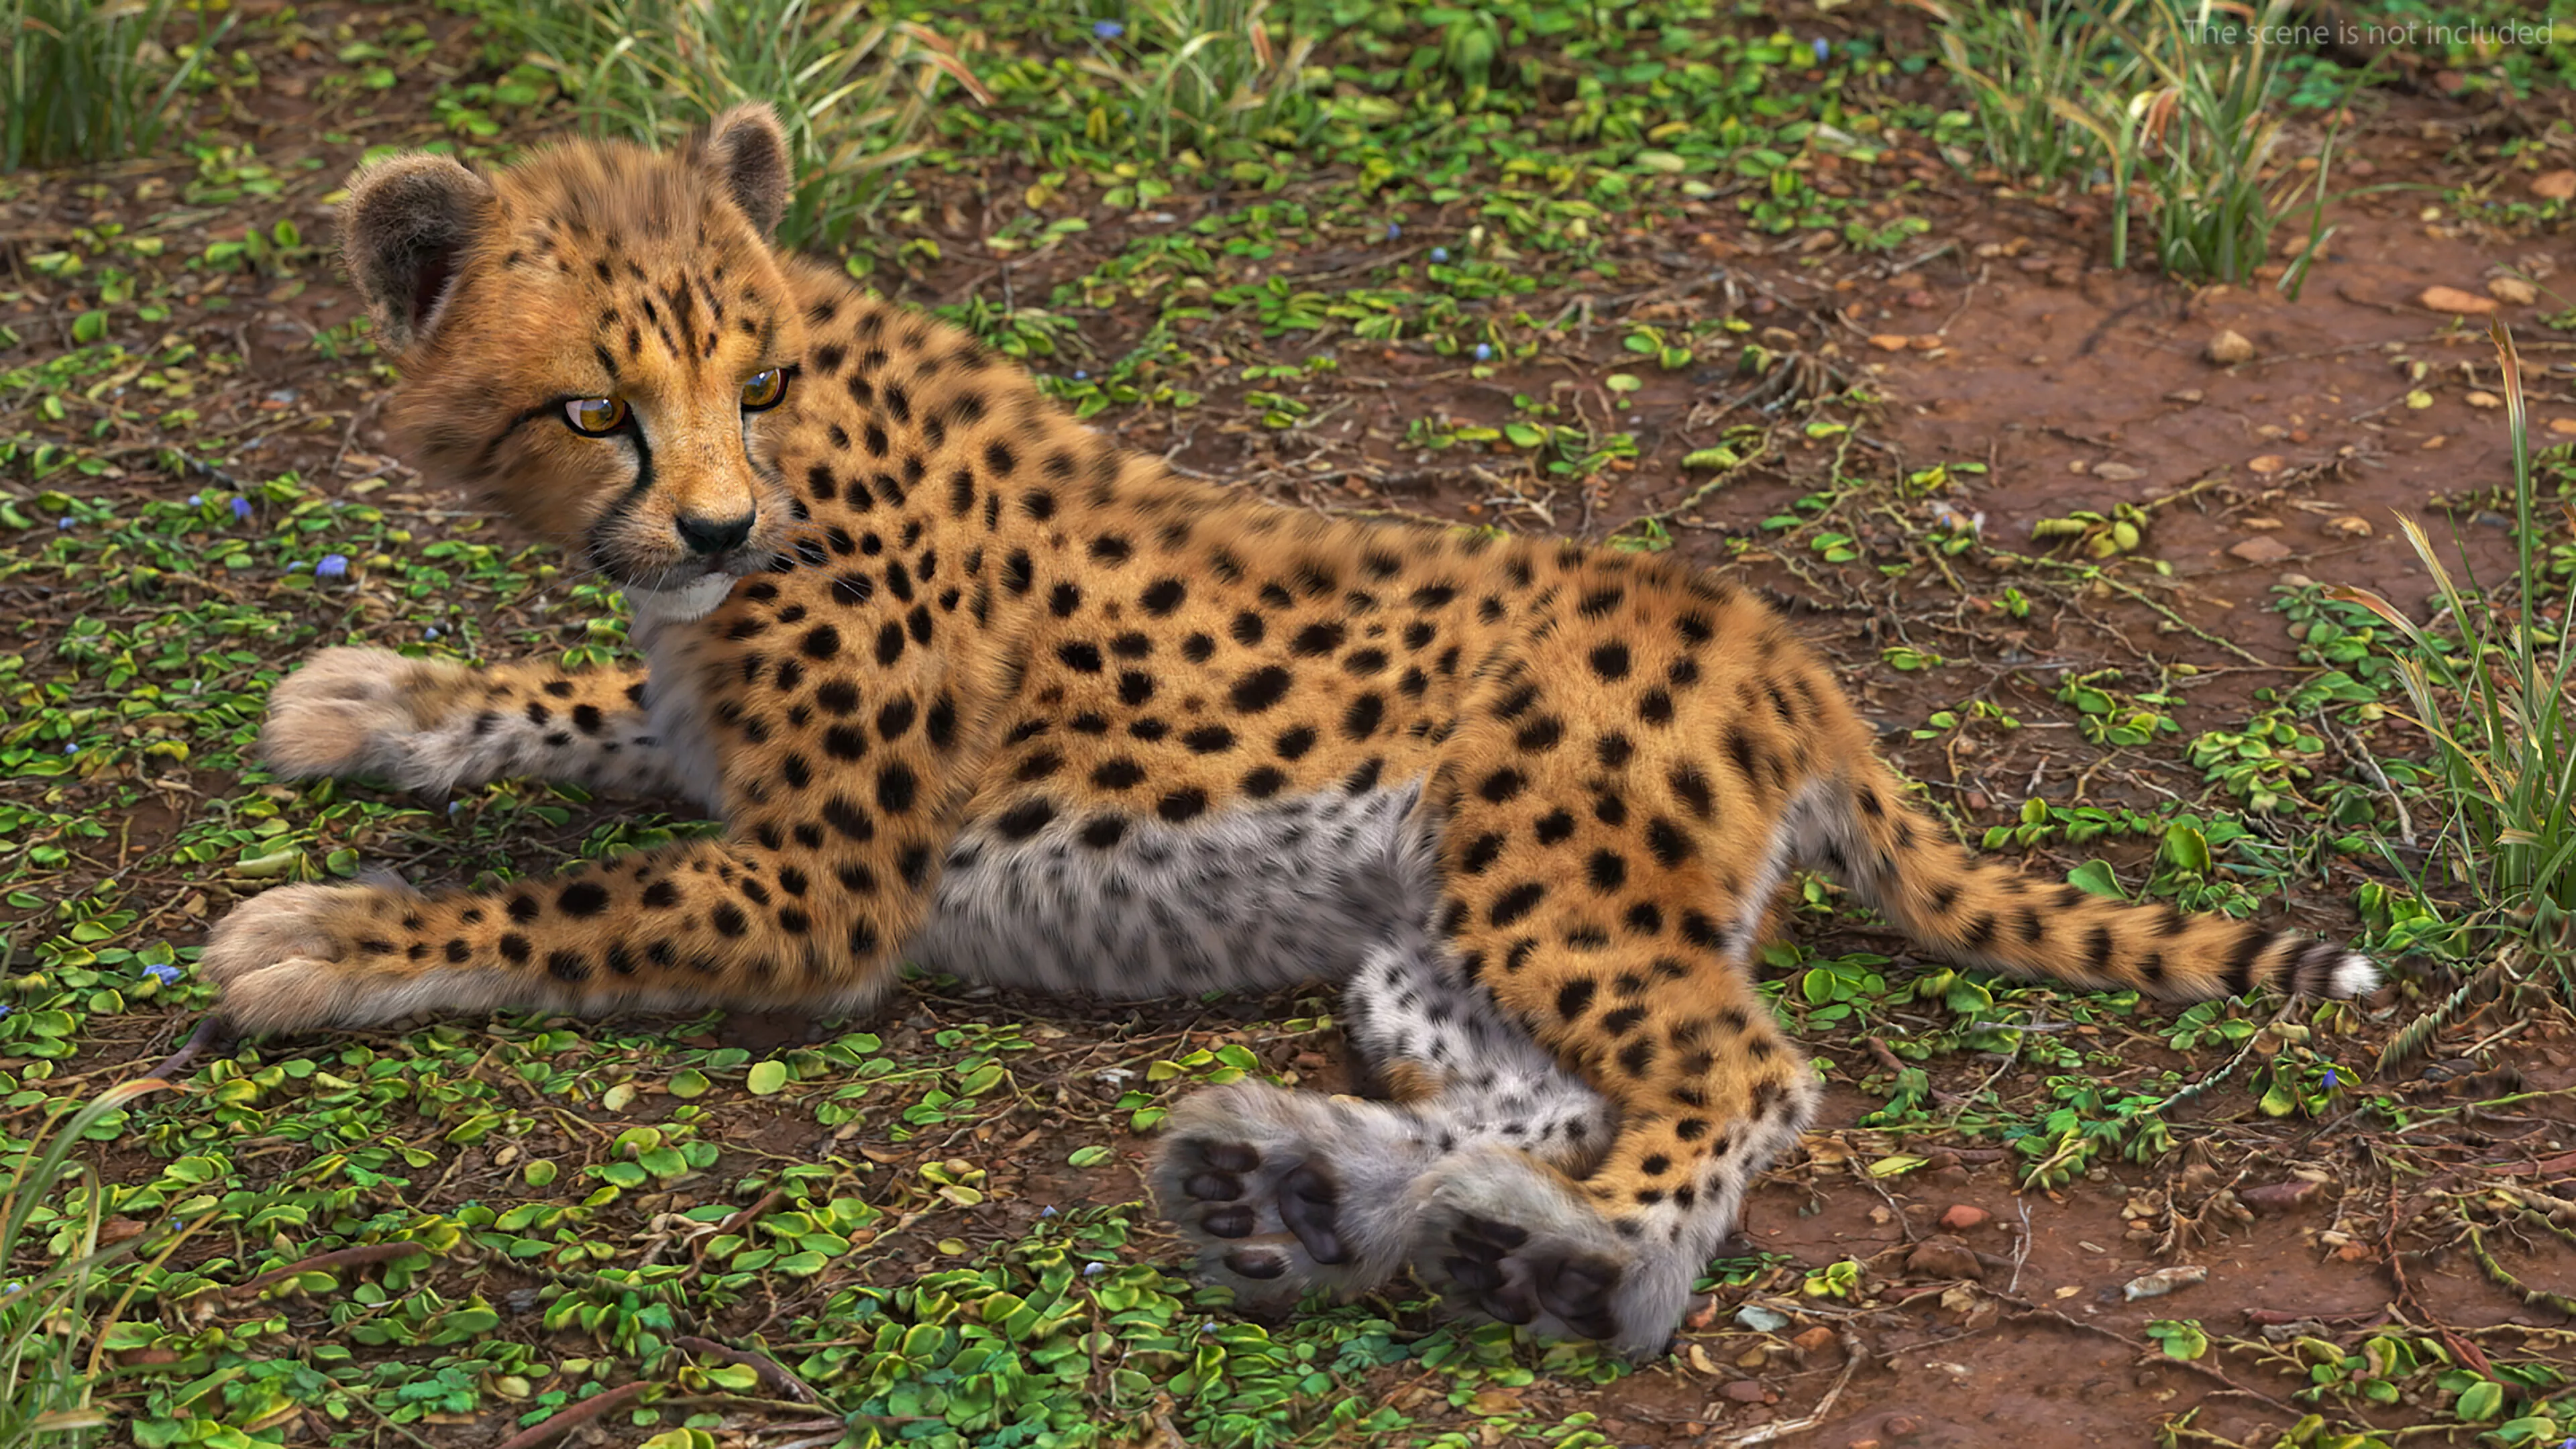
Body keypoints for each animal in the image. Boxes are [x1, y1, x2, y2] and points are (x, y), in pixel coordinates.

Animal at [201, 104, 2382, 1360]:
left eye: (753, 380)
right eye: (597, 408)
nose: (727, 527)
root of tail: (1771, 638)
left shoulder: (818, 885)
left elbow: (563, 904)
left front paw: (324, 935)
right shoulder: (717, 741)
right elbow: (588, 706)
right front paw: (375, 697)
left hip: (1545, 885)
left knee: (1738, 1078)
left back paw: (1572, 1265)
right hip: (1414, 954)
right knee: (1531, 1098)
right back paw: (1319, 1195)